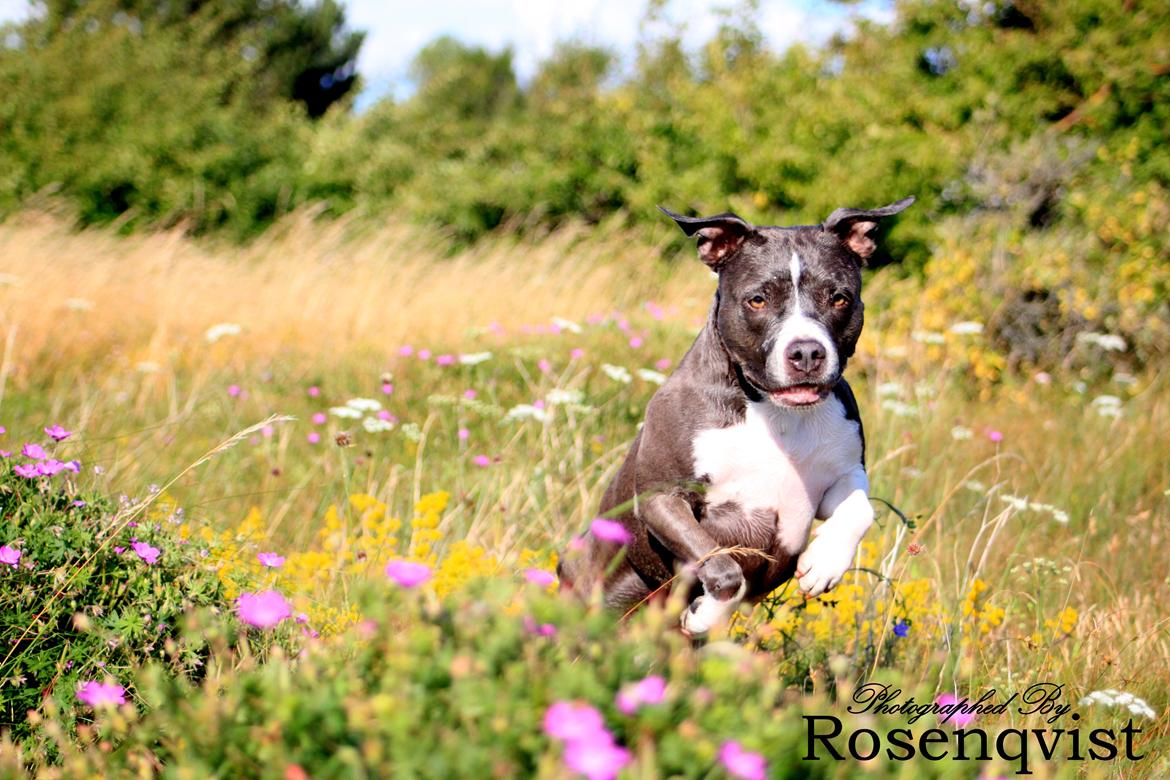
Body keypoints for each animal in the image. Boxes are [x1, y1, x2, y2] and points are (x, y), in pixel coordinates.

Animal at [554, 195, 912, 636]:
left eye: (839, 298)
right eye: (757, 300)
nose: (807, 352)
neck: (774, 411)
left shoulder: (842, 474)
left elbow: (860, 508)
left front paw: (825, 562)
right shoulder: (662, 499)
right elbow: (722, 568)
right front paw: (708, 611)